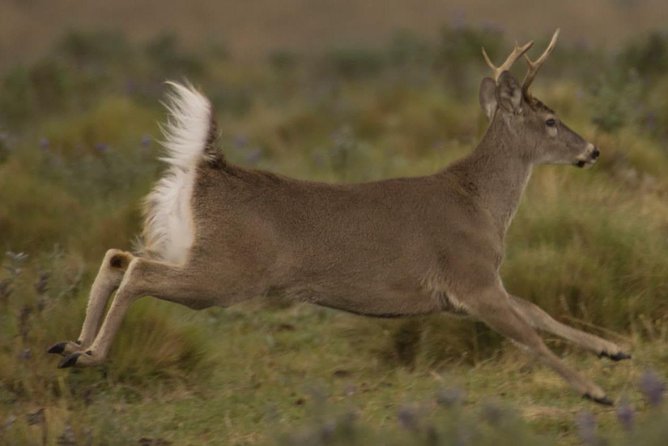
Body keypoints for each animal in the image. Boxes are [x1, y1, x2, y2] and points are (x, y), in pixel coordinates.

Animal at [49, 30, 628, 404]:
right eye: (551, 121)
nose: (594, 150)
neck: (481, 202)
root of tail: (204, 169)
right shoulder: (470, 278)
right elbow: (530, 336)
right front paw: (596, 392)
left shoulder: (472, 289)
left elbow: (540, 313)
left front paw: (614, 351)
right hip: (226, 271)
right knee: (138, 271)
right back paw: (90, 355)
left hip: (183, 245)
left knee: (118, 256)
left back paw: (70, 345)